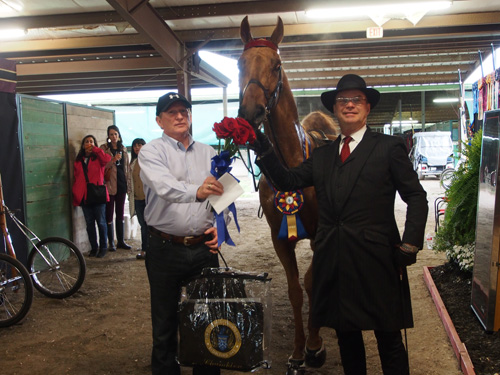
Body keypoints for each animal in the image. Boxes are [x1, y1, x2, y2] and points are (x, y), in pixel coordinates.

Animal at [236, 16, 338, 374]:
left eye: (276, 65)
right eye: (239, 63)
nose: (250, 111)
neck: (295, 163)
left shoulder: (322, 235)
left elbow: (311, 281)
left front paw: (315, 346)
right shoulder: (280, 239)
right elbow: (295, 290)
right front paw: (297, 351)